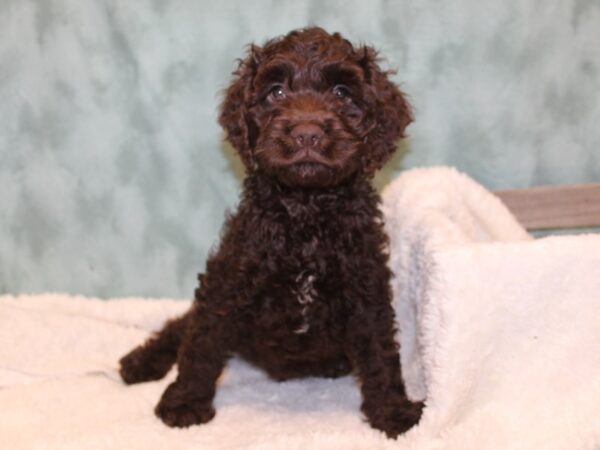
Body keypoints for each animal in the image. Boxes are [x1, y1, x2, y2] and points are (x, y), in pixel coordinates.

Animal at [118, 27, 422, 440]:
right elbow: (201, 344)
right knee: (181, 326)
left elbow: (380, 351)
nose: (307, 134)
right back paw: (141, 362)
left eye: (342, 93)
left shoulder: (365, 287)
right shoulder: (227, 282)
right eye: (276, 92)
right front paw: (184, 402)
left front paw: (392, 411)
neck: (306, 214)